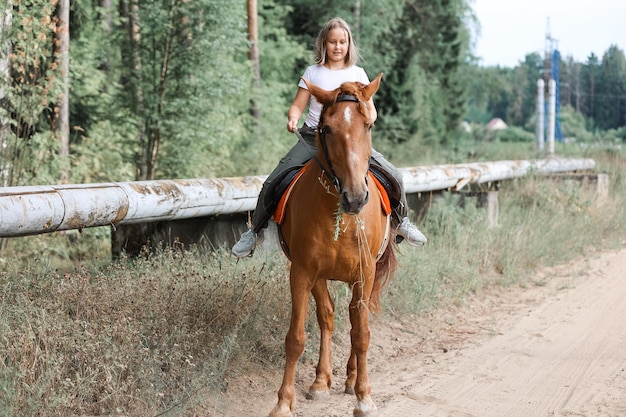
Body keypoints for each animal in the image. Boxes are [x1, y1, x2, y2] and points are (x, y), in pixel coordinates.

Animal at [266, 73, 394, 414]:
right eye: (326, 129)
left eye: (369, 125)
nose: (355, 197)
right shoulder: (302, 272)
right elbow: (296, 338)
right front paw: (283, 402)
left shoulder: (365, 272)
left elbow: (361, 333)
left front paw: (364, 397)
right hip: (320, 276)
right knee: (329, 315)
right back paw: (321, 381)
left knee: (353, 318)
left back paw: (350, 379)